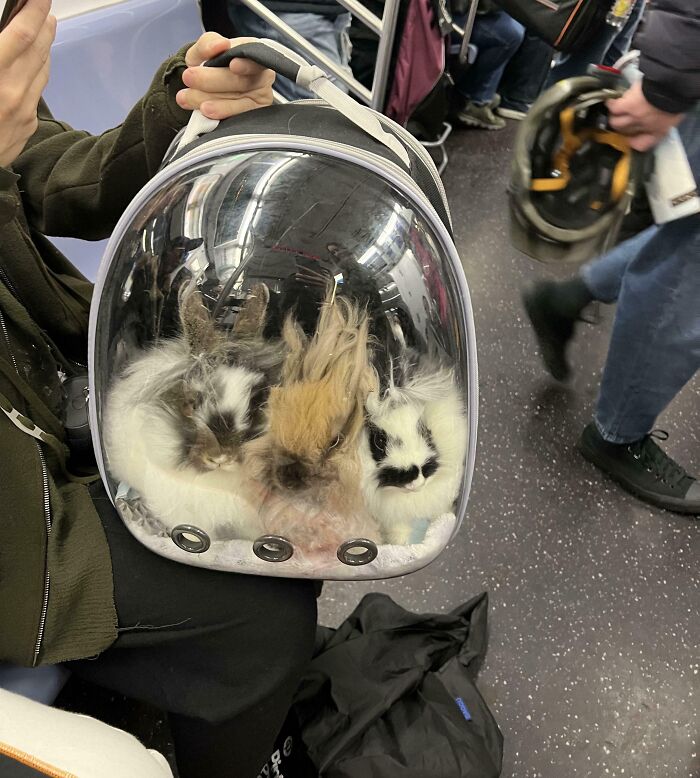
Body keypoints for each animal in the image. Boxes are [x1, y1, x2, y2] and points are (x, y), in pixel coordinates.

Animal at [358, 348, 468, 544]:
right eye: (379, 442)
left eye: (426, 432)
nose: (416, 481)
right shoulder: (391, 516)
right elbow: (398, 531)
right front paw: (400, 544)